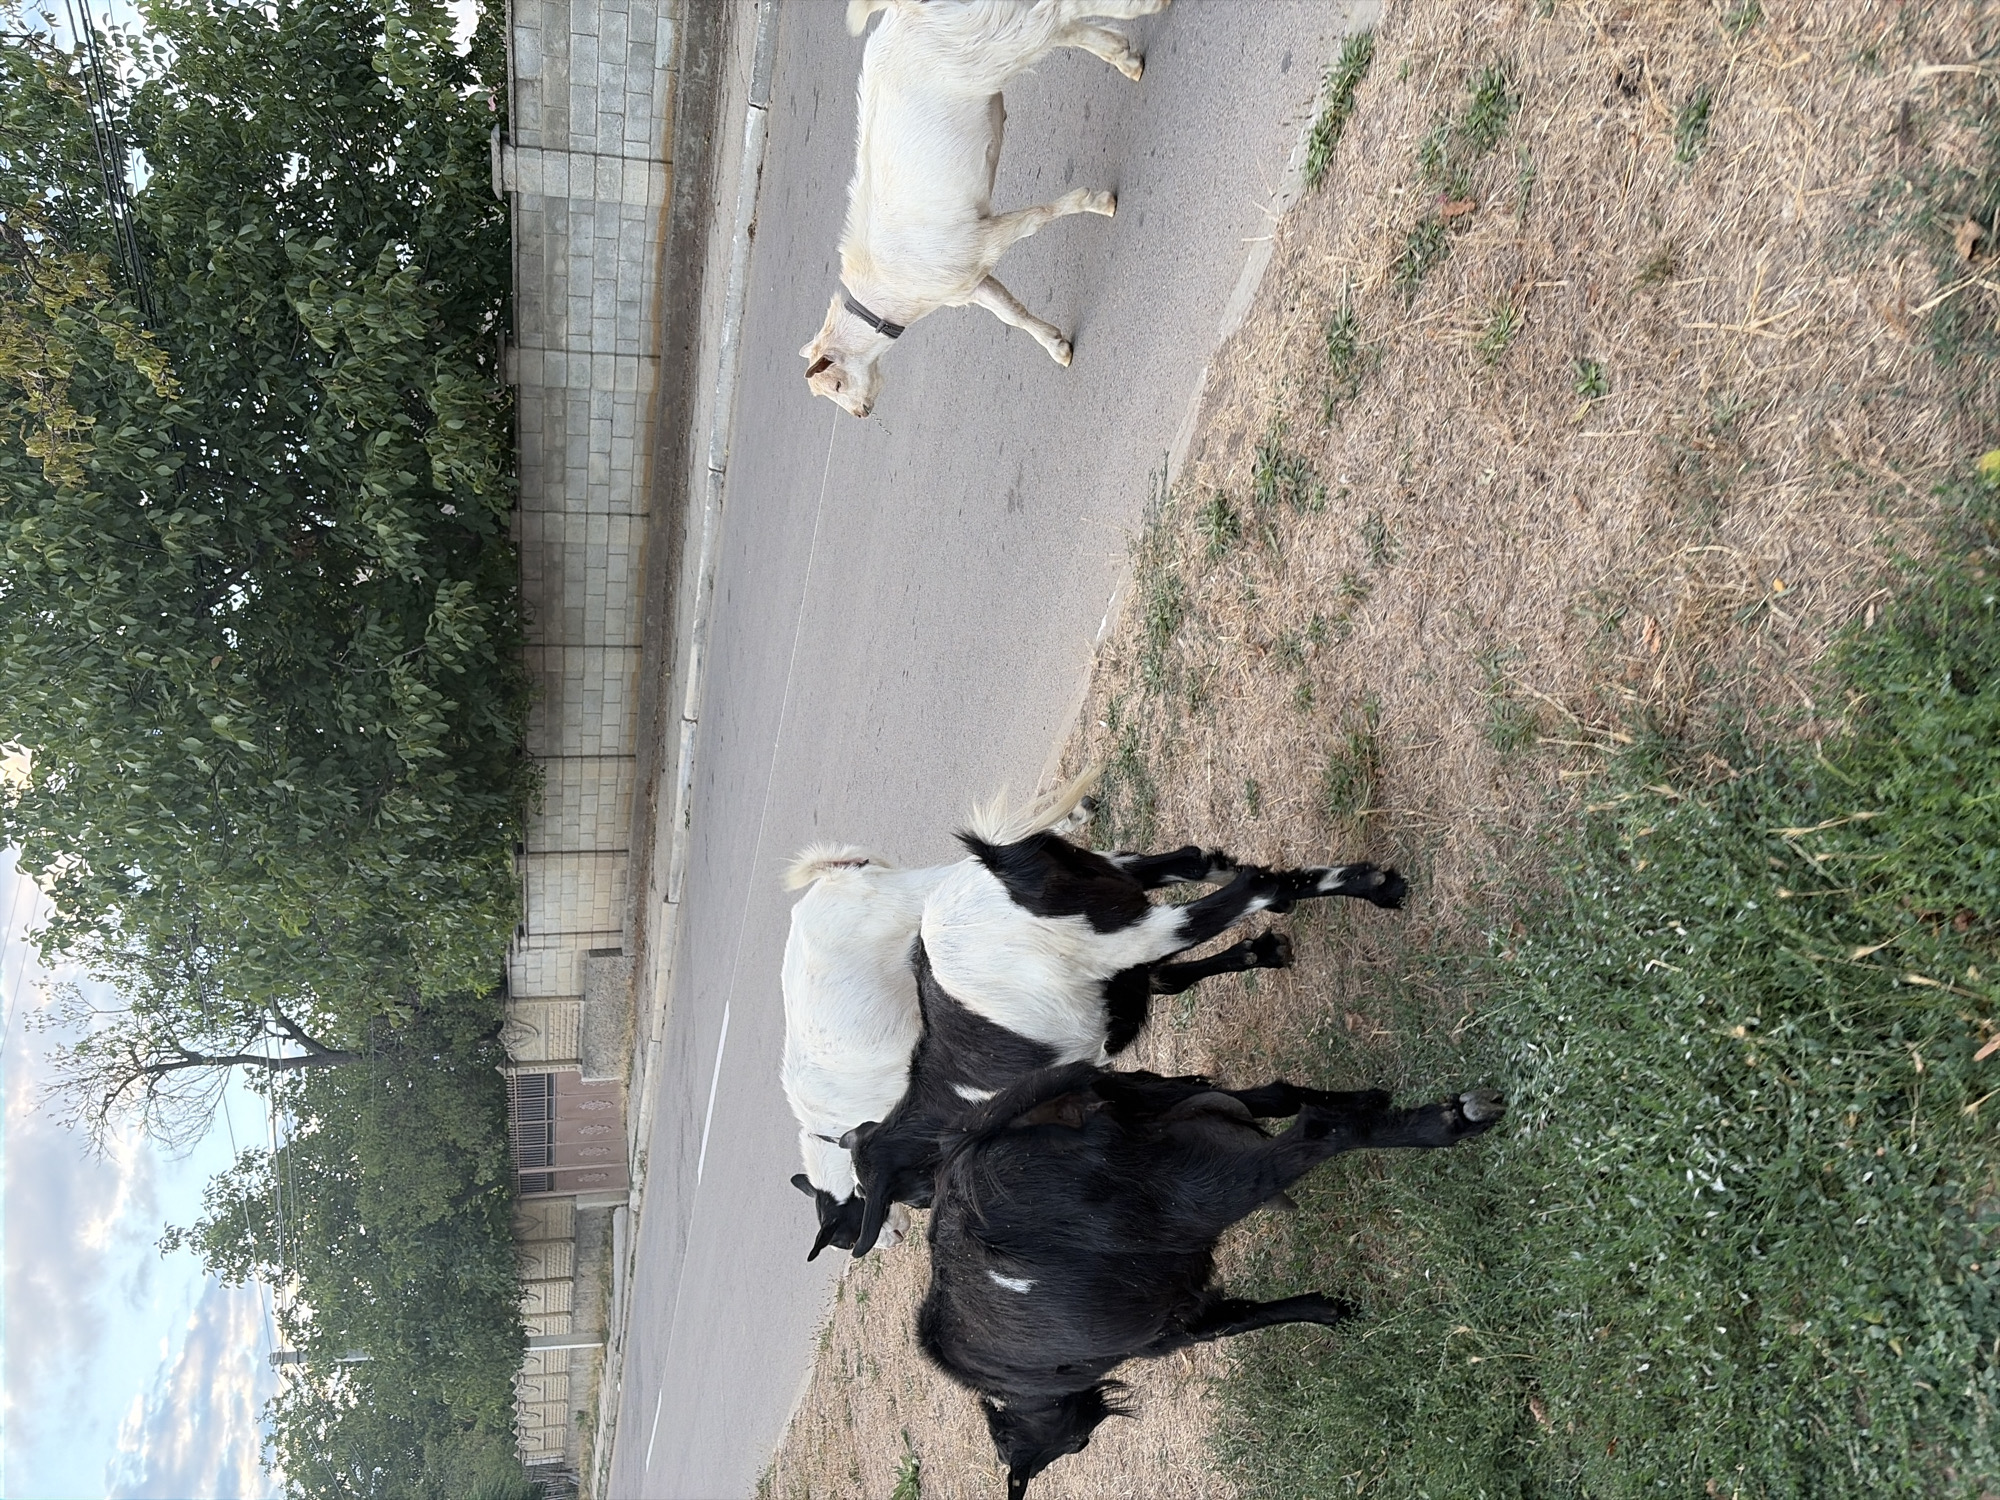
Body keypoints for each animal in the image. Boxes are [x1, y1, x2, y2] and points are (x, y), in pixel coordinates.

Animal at [802, 0, 1170, 417]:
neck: (890, 291)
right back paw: (1125, 57)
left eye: (836, 382)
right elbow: (1009, 312)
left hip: (988, 46)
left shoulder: (980, 239)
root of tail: (903, 8)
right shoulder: (968, 280)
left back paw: (1144, 10)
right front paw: (1057, 346)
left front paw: (1098, 202)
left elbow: (1039, 217)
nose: (861, 413)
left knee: (1057, 14)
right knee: (1062, 26)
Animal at [841, 834, 1408, 1255]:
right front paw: (1262, 953)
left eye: (917, 1194)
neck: (954, 1094)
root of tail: (997, 864)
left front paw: (1354, 1106)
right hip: (1111, 875)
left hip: (1124, 932)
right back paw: (1374, 884)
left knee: (1243, 890)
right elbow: (1174, 1017)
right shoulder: (1110, 1070)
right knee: (1201, 863)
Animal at [917, 1062, 1508, 1497]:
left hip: (1196, 1198)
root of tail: (983, 1137)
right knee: (1281, 1097)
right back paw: (1372, 1099)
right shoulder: (1189, 1305)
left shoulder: (1173, 1328)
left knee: (1316, 1131)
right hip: (1158, 1097)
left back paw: (1451, 1122)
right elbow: (1251, 1313)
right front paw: (1333, 1309)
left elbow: (1240, 1321)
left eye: (1078, 1443)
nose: (1085, 1437)